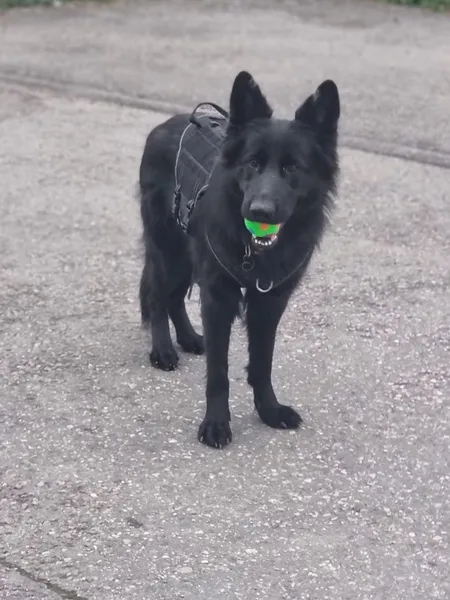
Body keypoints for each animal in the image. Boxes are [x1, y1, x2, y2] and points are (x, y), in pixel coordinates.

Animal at [138, 71, 340, 448]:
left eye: (292, 167)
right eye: (253, 163)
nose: (259, 211)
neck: (254, 250)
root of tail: (163, 125)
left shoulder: (270, 301)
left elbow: (262, 363)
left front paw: (269, 410)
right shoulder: (219, 296)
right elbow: (219, 371)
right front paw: (216, 424)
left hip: (189, 255)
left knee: (175, 296)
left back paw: (189, 338)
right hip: (167, 249)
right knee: (158, 294)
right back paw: (164, 350)